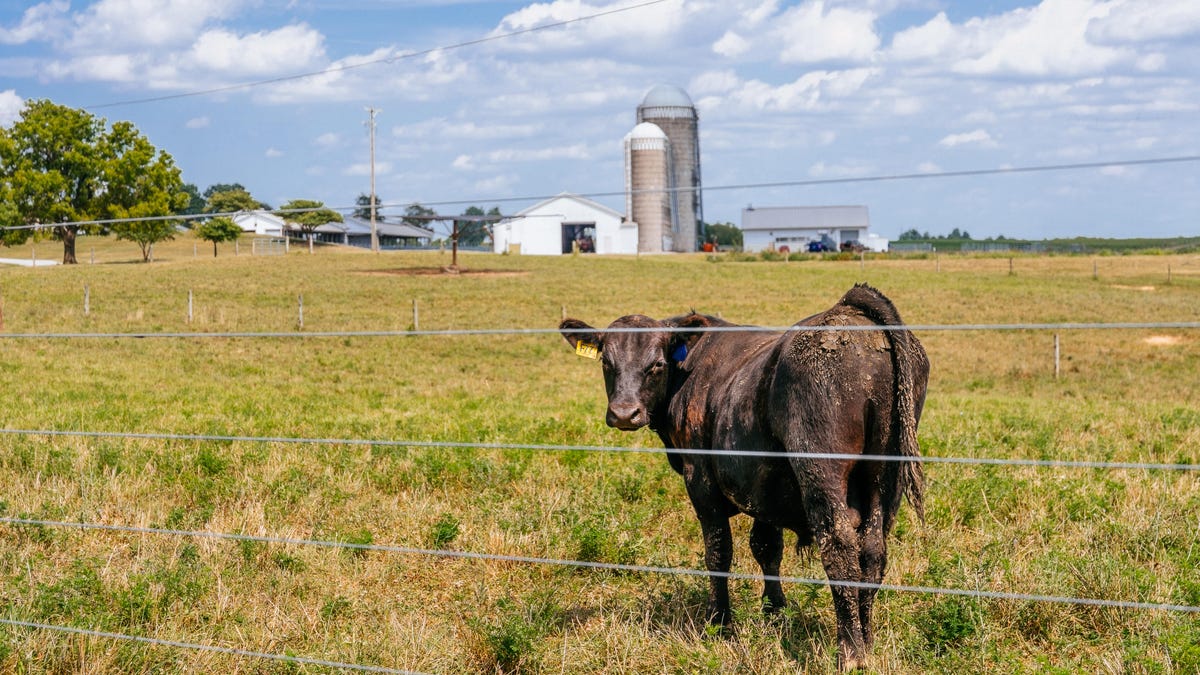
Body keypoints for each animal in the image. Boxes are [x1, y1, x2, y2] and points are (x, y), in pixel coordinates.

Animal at [559, 284, 928, 672]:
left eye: (656, 365)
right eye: (606, 362)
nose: (624, 413)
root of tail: (849, 315)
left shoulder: (700, 478)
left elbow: (719, 552)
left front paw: (720, 623)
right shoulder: (765, 486)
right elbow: (766, 548)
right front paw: (775, 612)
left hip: (820, 472)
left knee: (839, 548)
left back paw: (851, 651)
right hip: (885, 482)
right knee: (873, 552)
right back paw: (867, 641)